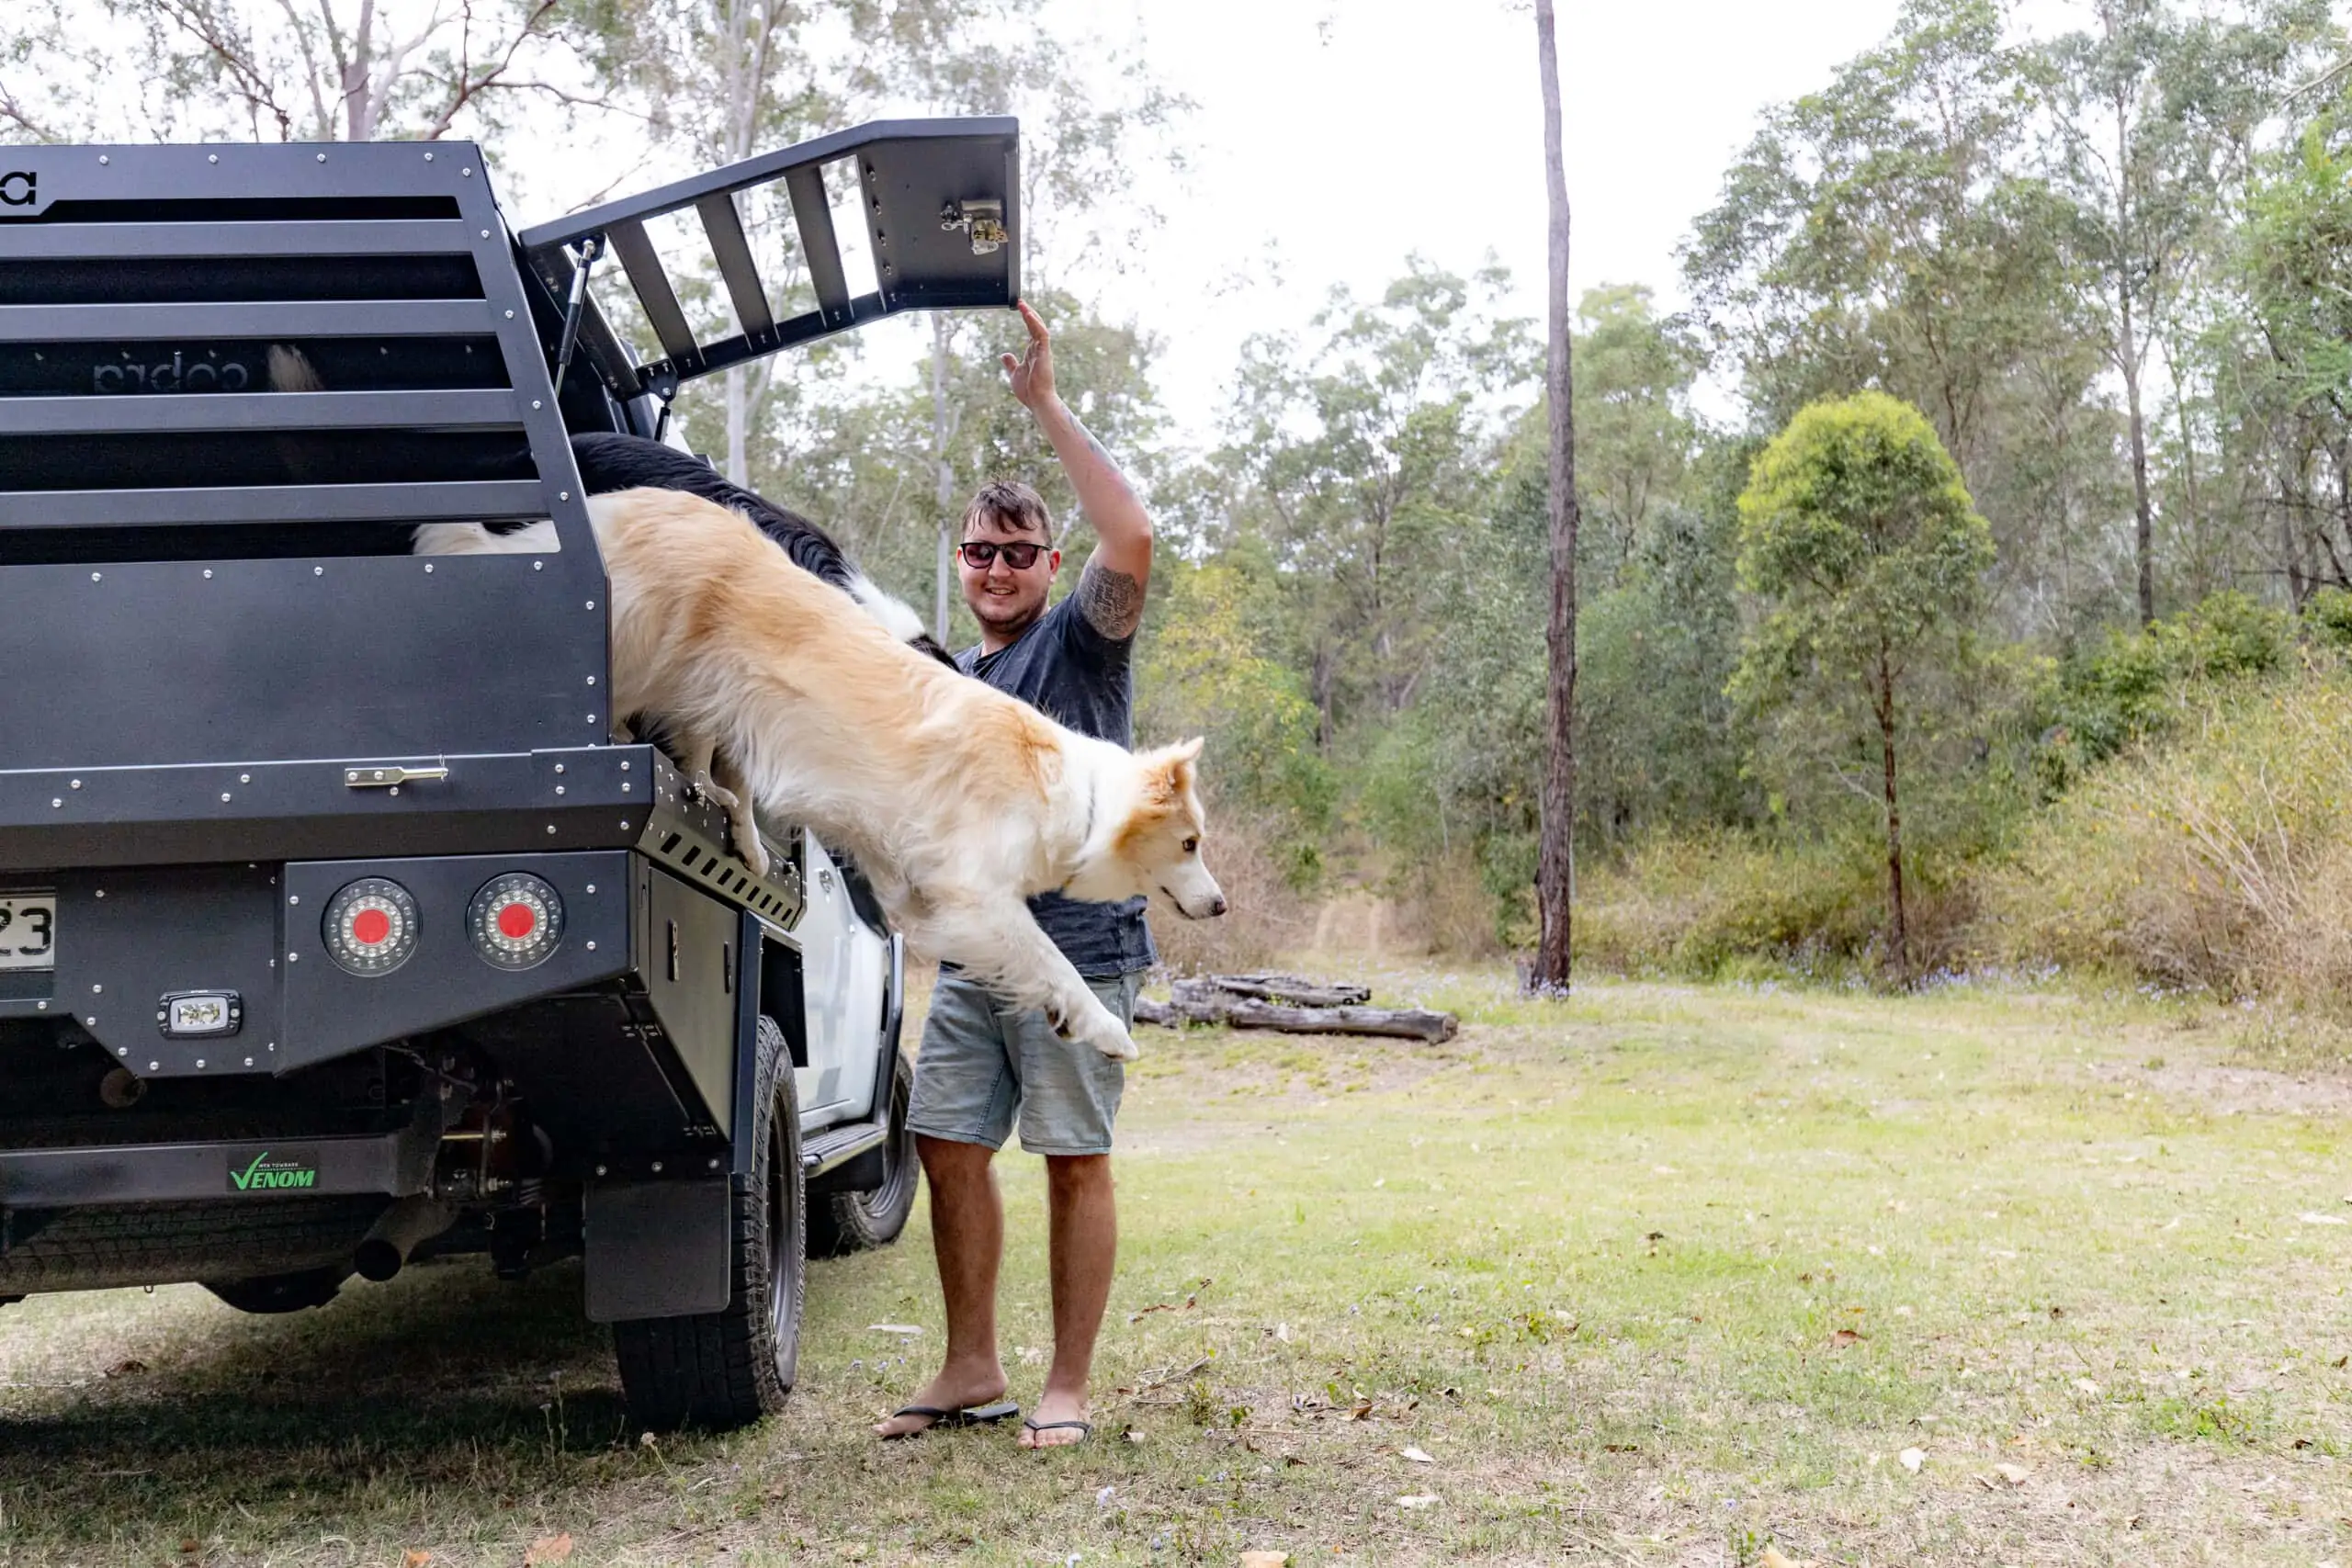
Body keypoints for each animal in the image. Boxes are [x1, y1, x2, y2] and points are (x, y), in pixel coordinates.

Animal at [421, 484, 1223, 1062]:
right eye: (1189, 844)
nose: (1220, 906)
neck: (1076, 794)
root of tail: (621, 504)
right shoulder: (979, 894)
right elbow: (1054, 960)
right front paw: (1105, 1029)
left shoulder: (919, 884)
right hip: (645, 652)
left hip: (714, 700)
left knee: (709, 764)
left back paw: (735, 826)